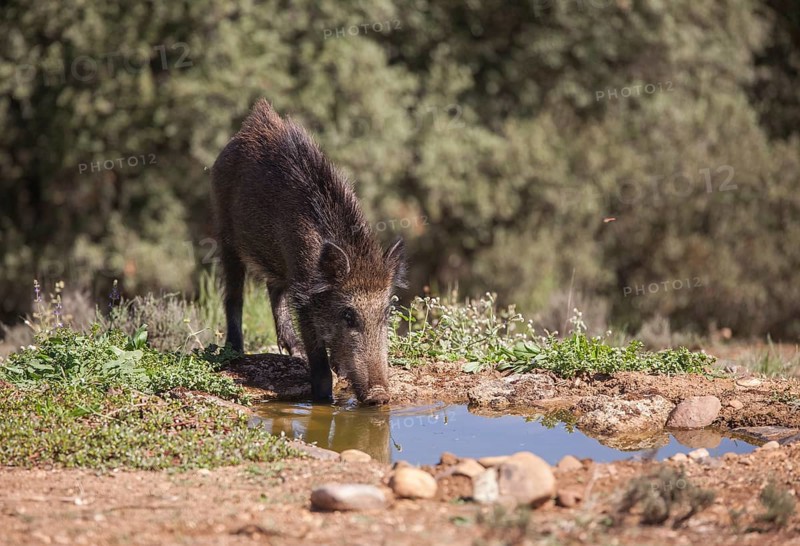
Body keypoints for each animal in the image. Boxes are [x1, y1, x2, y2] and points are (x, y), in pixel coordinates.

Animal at [210, 99, 406, 405]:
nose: (379, 396)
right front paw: (325, 400)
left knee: (273, 289)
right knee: (234, 293)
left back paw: (292, 351)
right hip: (226, 233)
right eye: (348, 315)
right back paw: (235, 352)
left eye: (386, 313)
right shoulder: (303, 294)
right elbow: (318, 358)